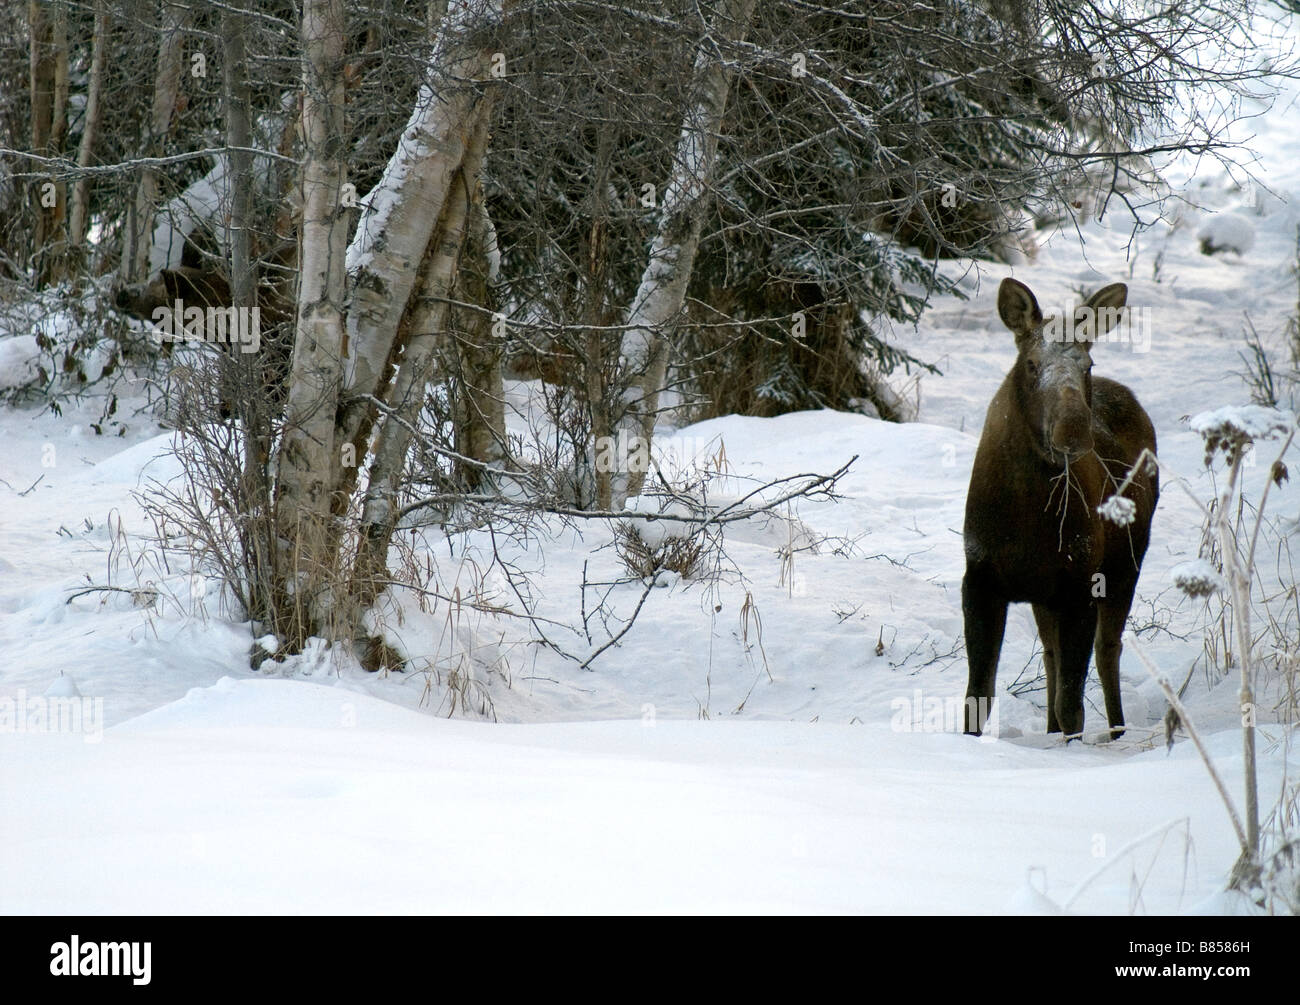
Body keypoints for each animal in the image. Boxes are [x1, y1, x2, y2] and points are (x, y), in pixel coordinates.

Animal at [967, 278, 1159, 738]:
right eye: (1032, 363)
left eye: (1087, 365)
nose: (1072, 430)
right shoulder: (979, 579)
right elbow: (977, 698)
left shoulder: (1080, 585)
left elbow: (1073, 704)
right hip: (1048, 595)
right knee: (1051, 654)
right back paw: (1053, 730)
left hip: (1126, 565)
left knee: (1108, 650)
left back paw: (1117, 729)